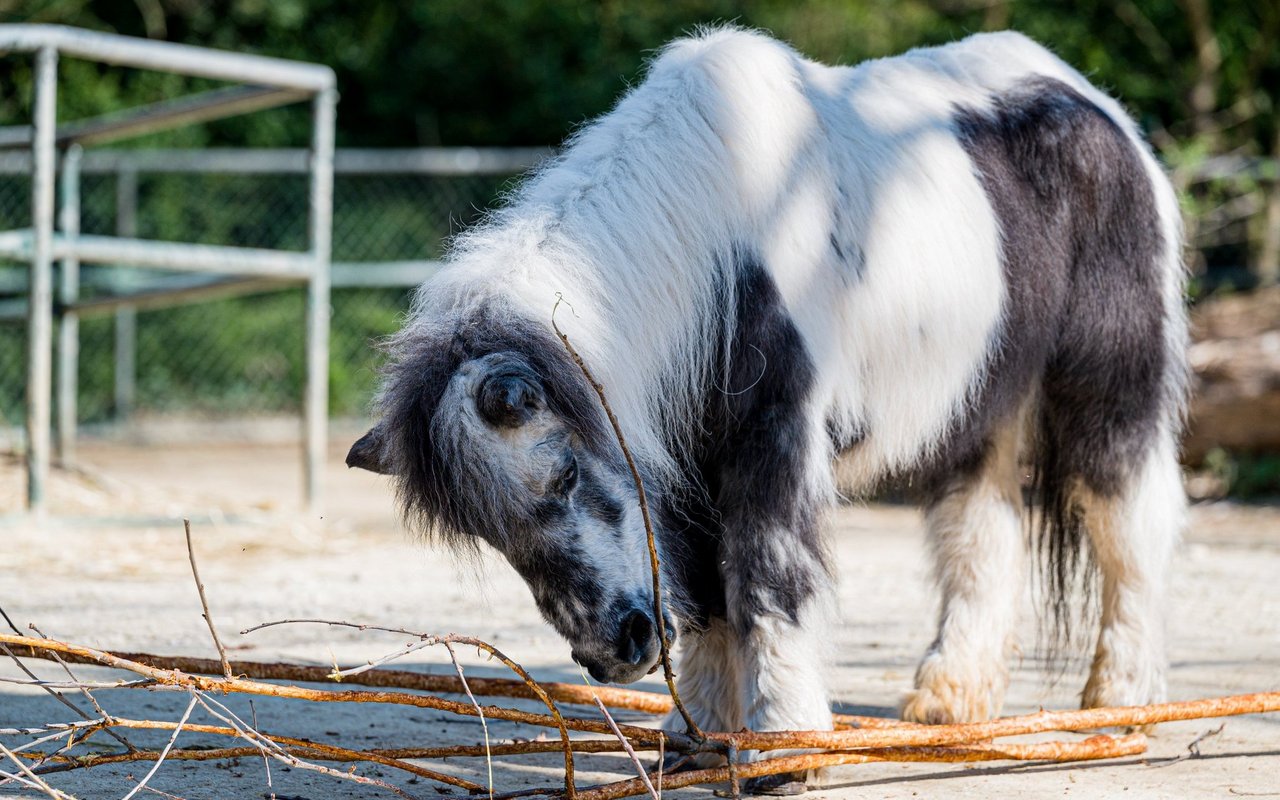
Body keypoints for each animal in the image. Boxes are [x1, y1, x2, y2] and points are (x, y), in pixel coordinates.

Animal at [345, 24, 1182, 793]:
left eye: (562, 480)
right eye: (490, 535)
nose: (617, 651)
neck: (716, 252)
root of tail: (1095, 104)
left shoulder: (773, 443)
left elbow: (767, 583)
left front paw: (784, 749)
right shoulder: (681, 468)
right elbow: (709, 600)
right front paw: (700, 741)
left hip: (1107, 385)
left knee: (1130, 523)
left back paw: (1121, 709)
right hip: (978, 408)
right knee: (981, 531)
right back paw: (950, 703)